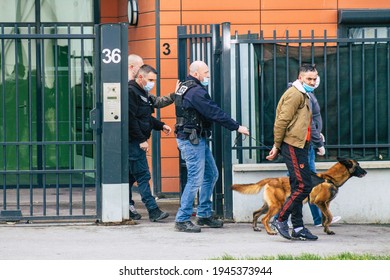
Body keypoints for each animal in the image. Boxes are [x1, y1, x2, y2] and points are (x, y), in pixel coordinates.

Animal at [233, 159, 368, 235]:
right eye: (358, 165)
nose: (366, 172)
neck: (330, 178)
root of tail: (271, 179)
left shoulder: (325, 204)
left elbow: (326, 218)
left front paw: (327, 230)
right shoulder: (320, 203)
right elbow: (329, 217)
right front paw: (326, 228)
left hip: (269, 205)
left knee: (256, 213)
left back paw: (256, 228)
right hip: (277, 206)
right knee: (264, 219)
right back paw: (270, 231)